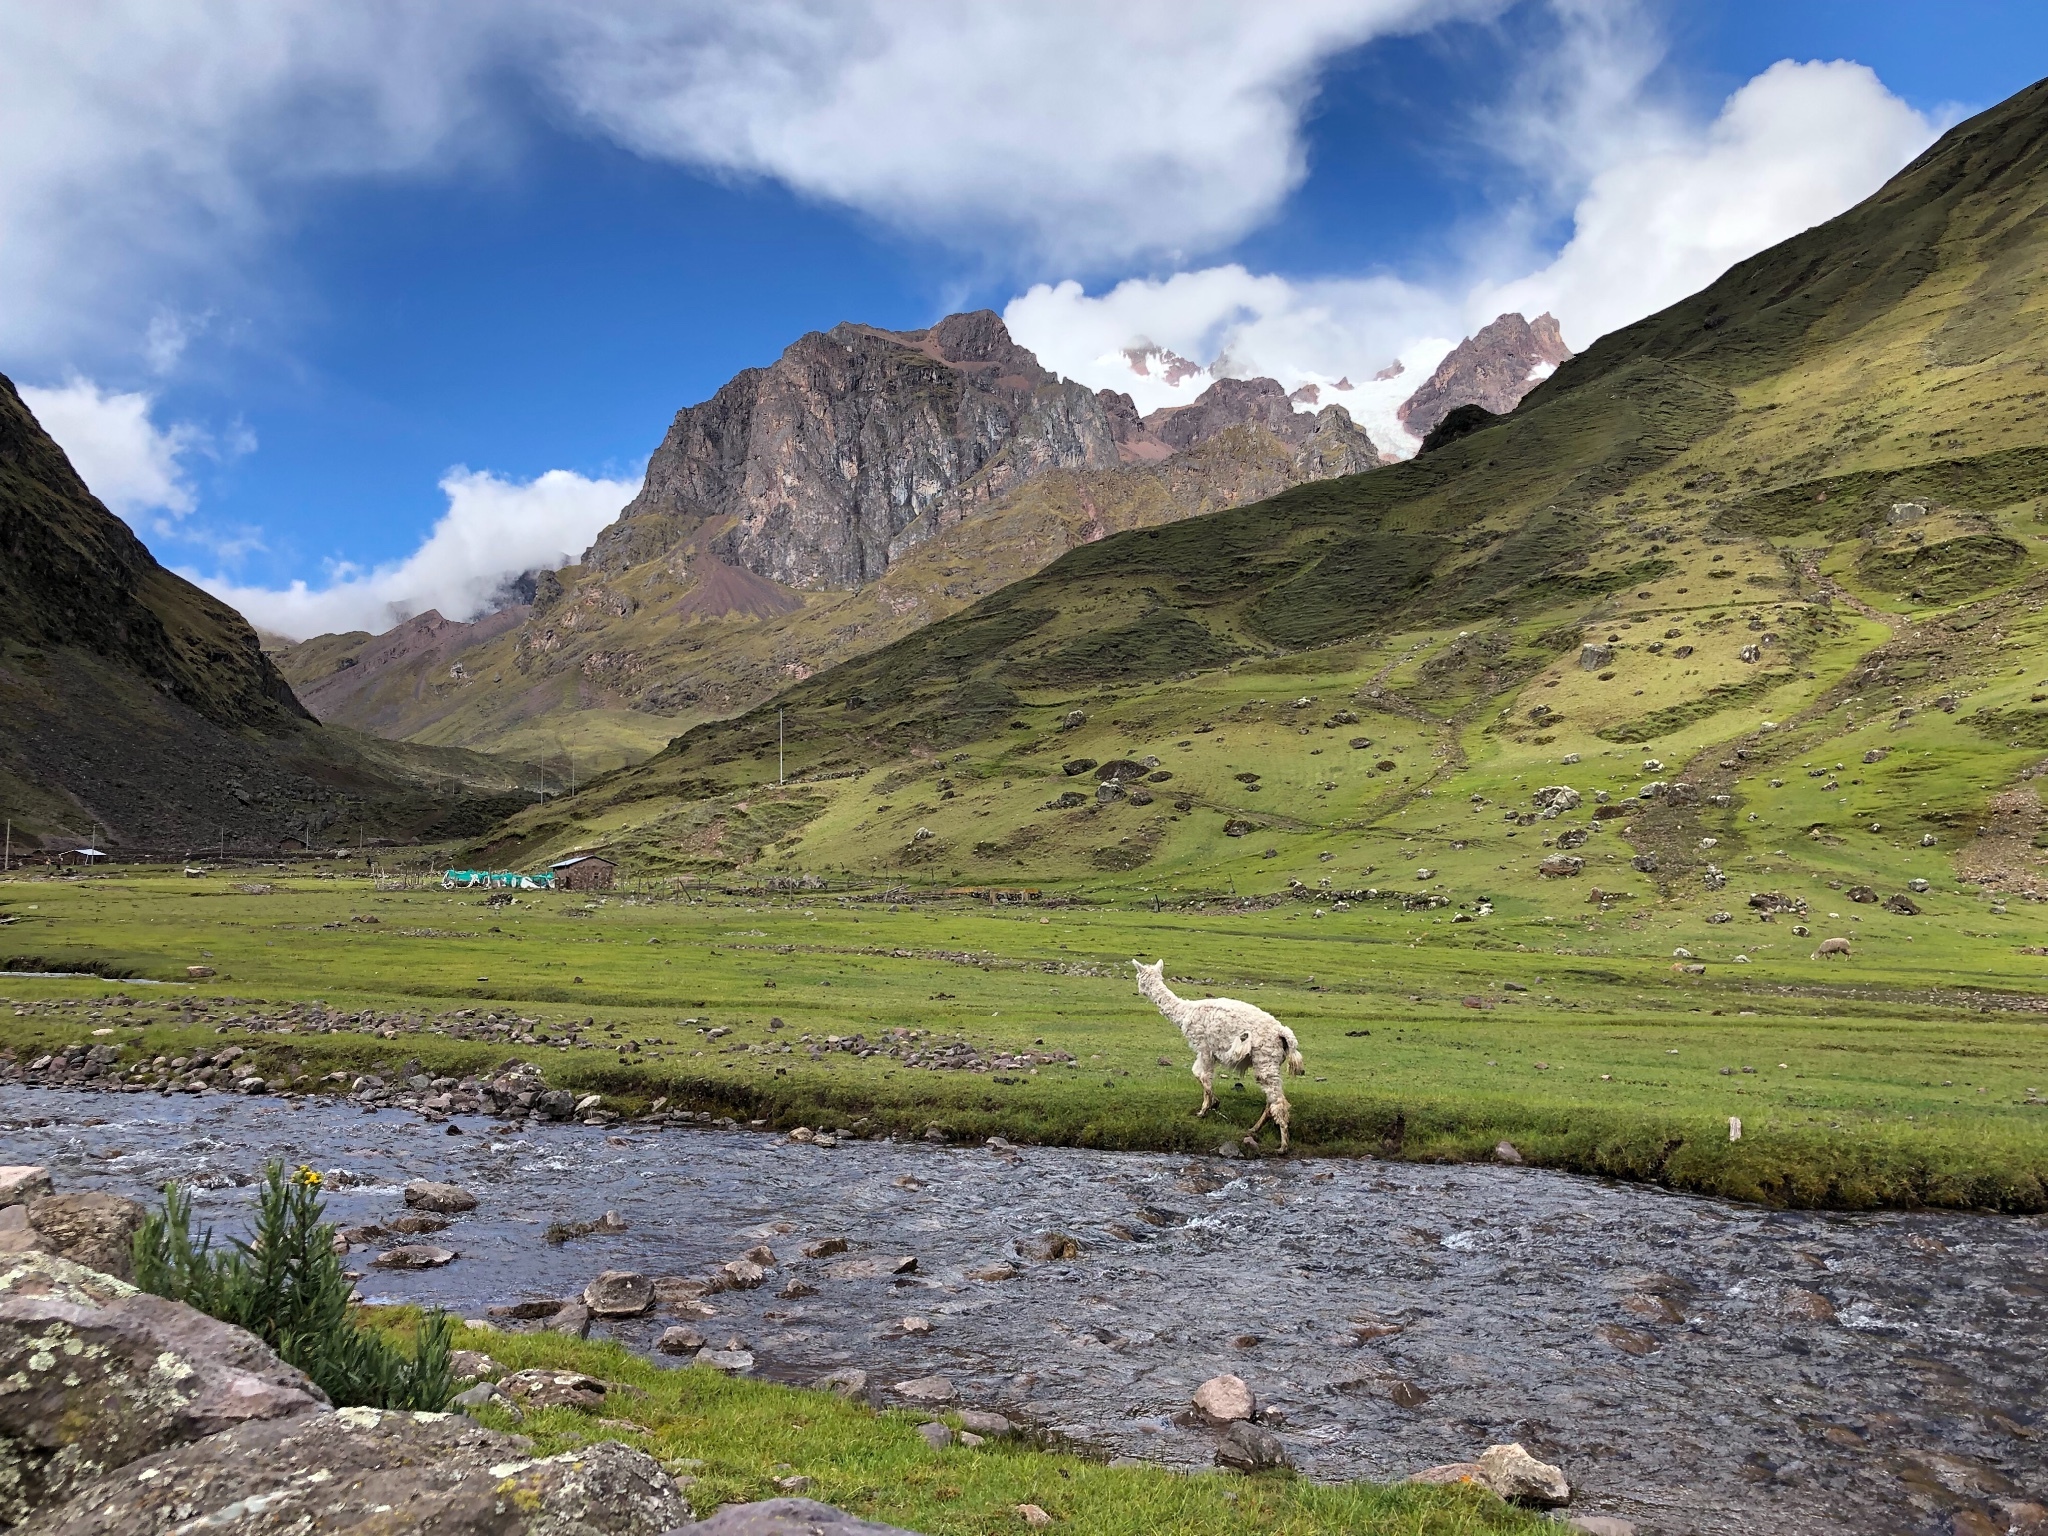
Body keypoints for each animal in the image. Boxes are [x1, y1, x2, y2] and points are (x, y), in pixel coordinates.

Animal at [1130, 962, 1302, 1155]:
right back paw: (1254, 1129)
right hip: (1270, 1063)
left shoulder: (1204, 1047)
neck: (1185, 1012)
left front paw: (1206, 1108)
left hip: (1266, 1059)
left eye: (1138, 977)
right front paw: (1212, 1104)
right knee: (1272, 1100)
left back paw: (1283, 1146)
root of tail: (1284, 1034)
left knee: (1279, 1102)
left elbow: (1202, 1075)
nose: (1139, 990)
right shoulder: (1207, 1051)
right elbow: (1199, 1074)